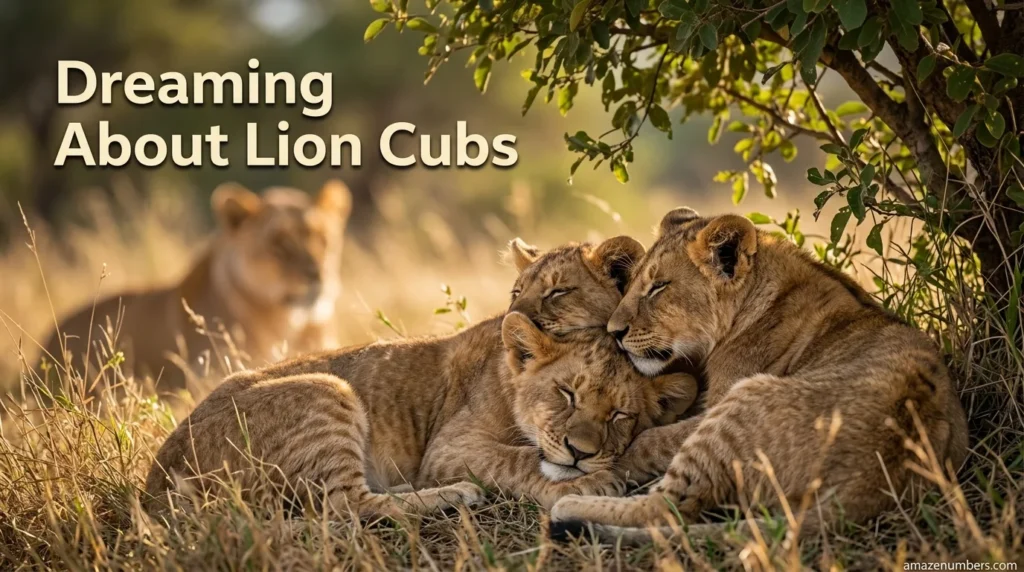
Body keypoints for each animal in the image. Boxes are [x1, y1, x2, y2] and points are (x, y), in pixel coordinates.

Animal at [550, 208, 969, 543]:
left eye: (659, 287)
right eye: (635, 282)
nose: (615, 332)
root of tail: (869, 483)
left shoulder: (718, 401)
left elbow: (649, 440)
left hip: (743, 404)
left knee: (666, 508)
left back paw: (569, 504)